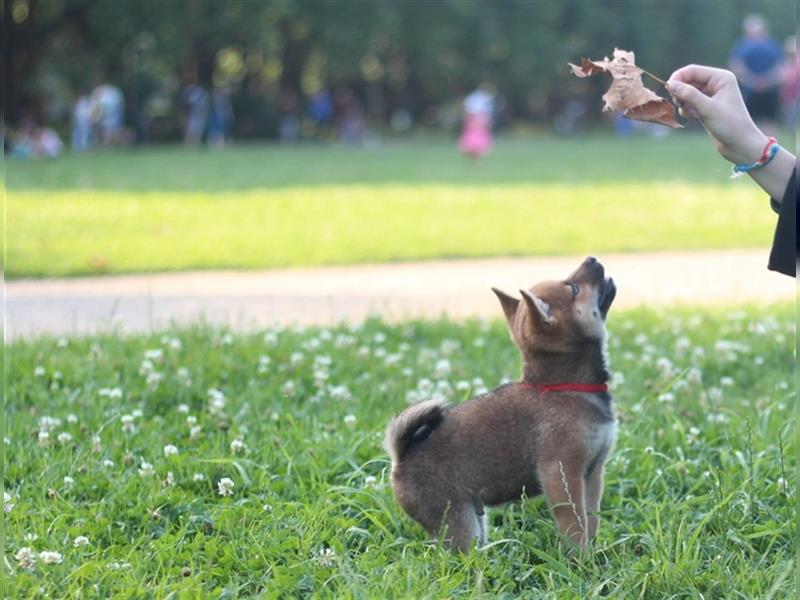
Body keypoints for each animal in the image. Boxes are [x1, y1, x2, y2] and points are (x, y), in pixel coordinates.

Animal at [384, 255, 616, 552]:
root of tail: (401, 457)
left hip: (474, 520)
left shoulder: (593, 473)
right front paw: (581, 558)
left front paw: (596, 551)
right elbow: (575, 525)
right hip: (458, 523)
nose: (592, 258)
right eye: (573, 287)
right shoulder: (562, 472)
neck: (566, 388)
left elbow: (591, 518)